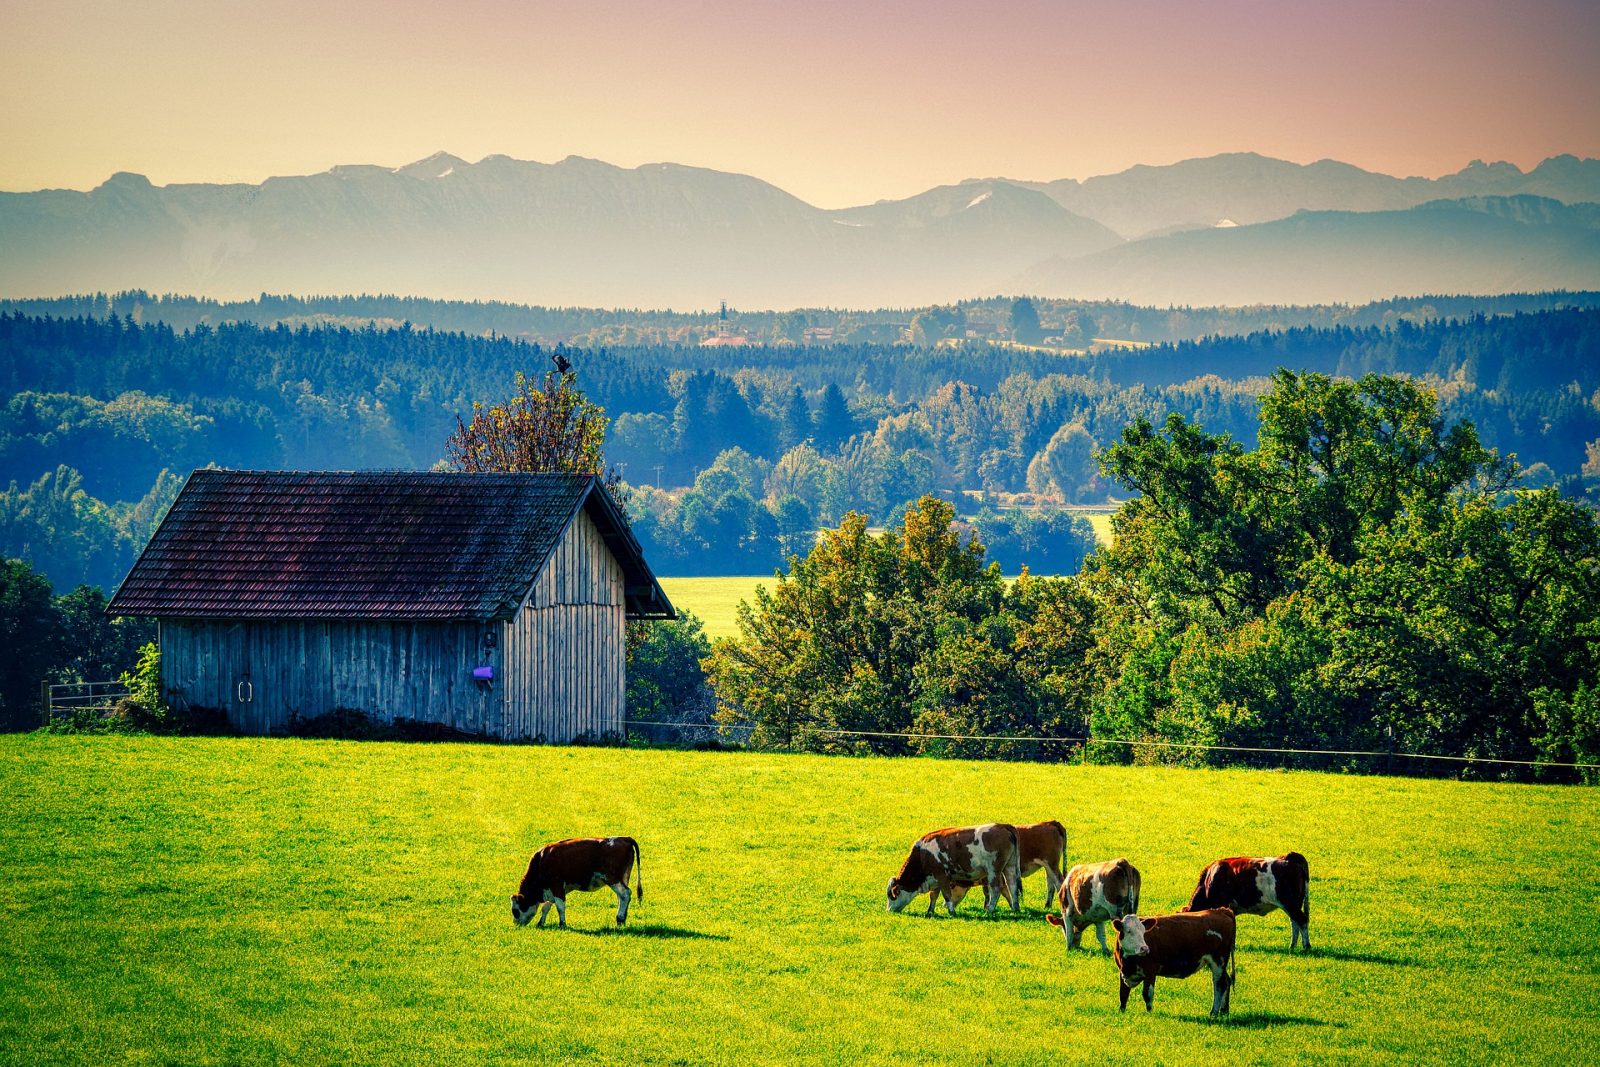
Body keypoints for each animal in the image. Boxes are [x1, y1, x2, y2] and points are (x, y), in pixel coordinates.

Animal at [508, 838, 640, 927]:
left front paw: (562, 924)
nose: (516, 924)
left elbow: (560, 906)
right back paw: (622, 919)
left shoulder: (557, 886)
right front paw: (540, 923)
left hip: (613, 879)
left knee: (625, 894)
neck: (541, 860)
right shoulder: (551, 890)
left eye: (515, 911)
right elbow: (546, 907)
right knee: (622, 898)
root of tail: (624, 838)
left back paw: (620, 919)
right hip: (623, 877)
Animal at [883, 825, 1017, 921]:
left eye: (892, 895)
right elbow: (933, 895)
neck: (923, 855)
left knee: (996, 889)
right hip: (1010, 866)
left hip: (993, 871)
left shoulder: (942, 878)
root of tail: (1003, 826)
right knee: (1013, 886)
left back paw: (990, 910)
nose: (888, 910)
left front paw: (952, 912)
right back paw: (1016, 909)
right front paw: (930, 911)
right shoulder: (934, 879)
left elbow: (947, 895)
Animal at [940, 825, 1068, 915]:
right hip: (1048, 867)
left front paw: (989, 907)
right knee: (1051, 884)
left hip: (1051, 864)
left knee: (1059, 882)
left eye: (951, 886)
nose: (944, 905)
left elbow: (998, 891)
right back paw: (1047, 905)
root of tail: (1051, 823)